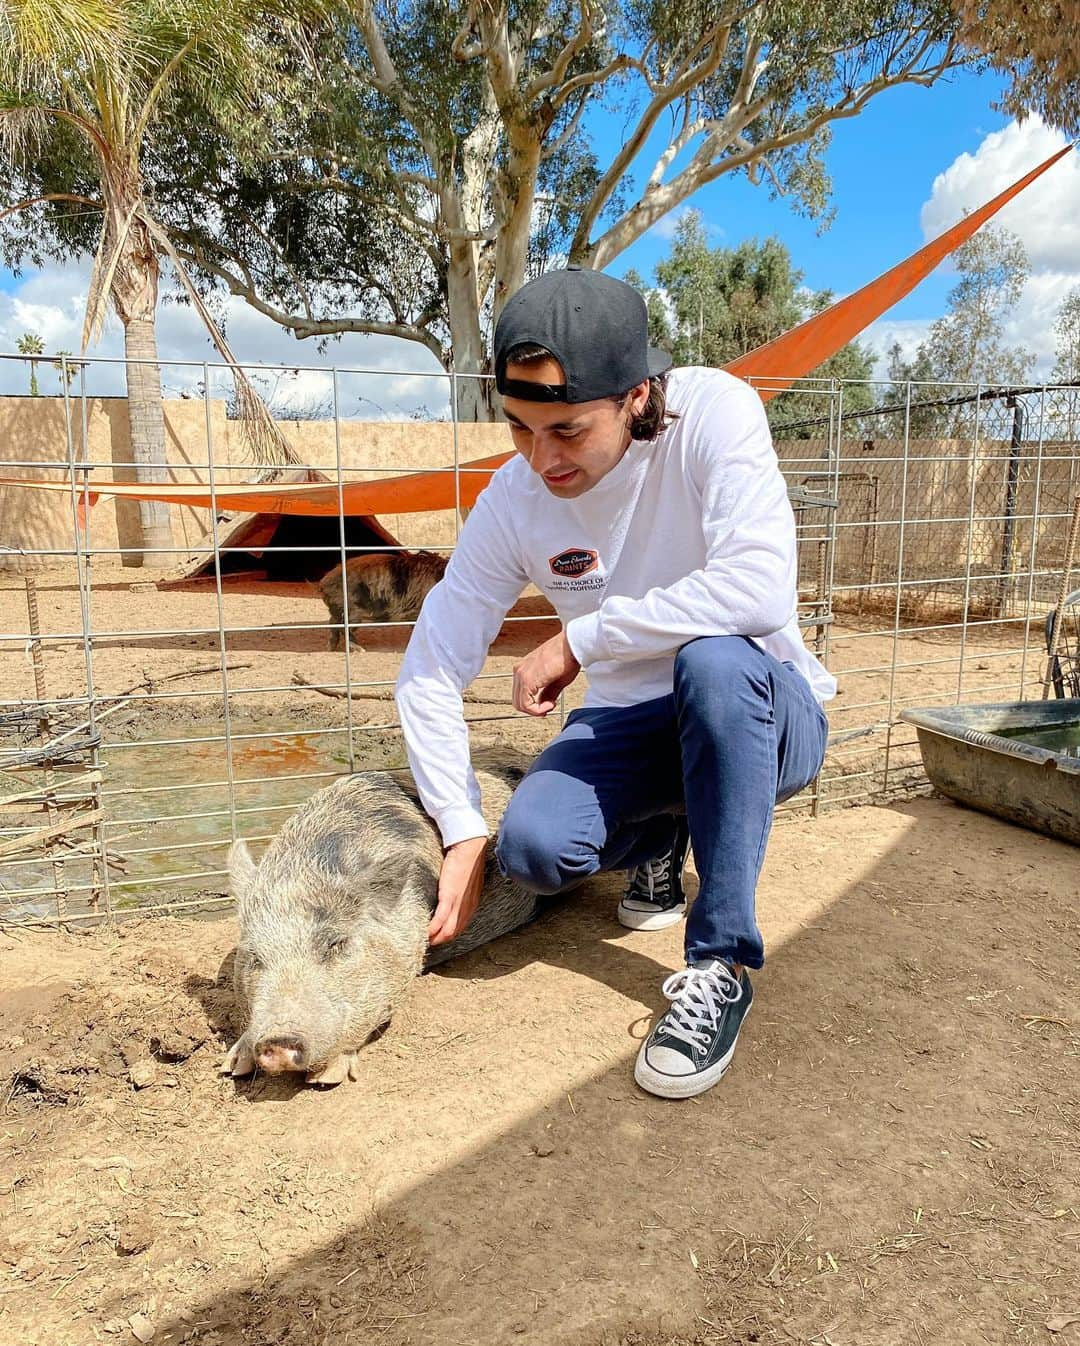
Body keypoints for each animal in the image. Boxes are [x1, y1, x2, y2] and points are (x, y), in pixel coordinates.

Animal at [315, 546, 447, 651]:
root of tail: (323, 582)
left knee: (332, 623)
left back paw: (330, 648)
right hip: (350, 611)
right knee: (343, 627)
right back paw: (360, 649)